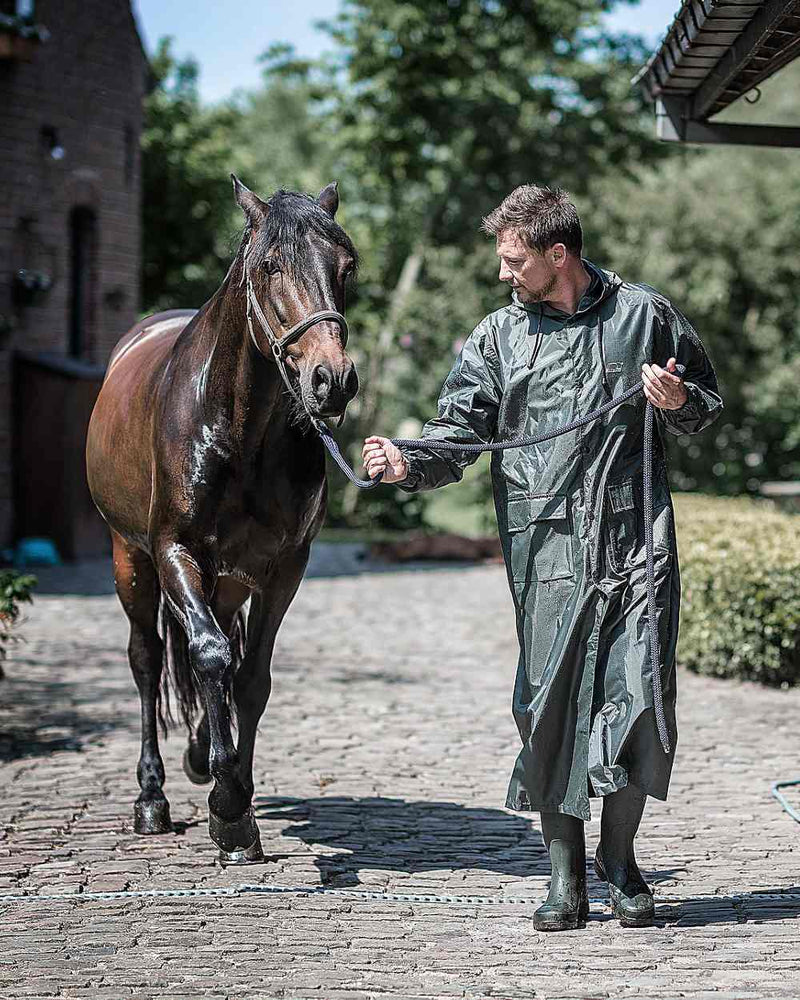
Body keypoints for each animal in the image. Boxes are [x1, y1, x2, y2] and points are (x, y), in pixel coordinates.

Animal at [86, 176, 358, 864]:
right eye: (269, 268)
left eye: (347, 267)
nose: (333, 380)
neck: (238, 431)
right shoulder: (175, 550)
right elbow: (207, 656)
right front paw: (230, 811)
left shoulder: (284, 567)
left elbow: (250, 677)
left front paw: (234, 798)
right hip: (130, 558)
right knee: (150, 658)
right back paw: (153, 798)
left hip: (231, 578)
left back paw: (202, 755)